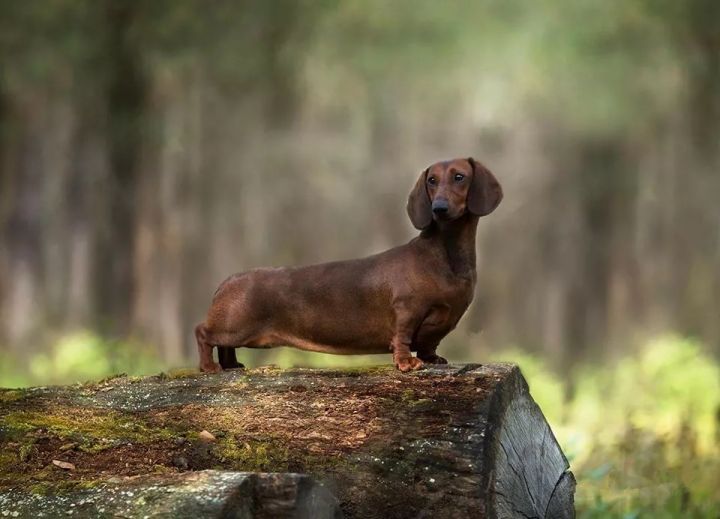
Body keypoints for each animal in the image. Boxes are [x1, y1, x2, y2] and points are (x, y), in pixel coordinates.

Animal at [194, 158, 504, 374]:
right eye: (431, 180)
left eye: (459, 177)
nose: (438, 208)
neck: (445, 254)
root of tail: (229, 280)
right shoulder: (407, 310)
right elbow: (403, 337)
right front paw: (406, 362)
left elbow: (429, 345)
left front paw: (432, 359)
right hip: (234, 326)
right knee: (203, 333)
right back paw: (209, 367)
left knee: (225, 347)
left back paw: (231, 366)